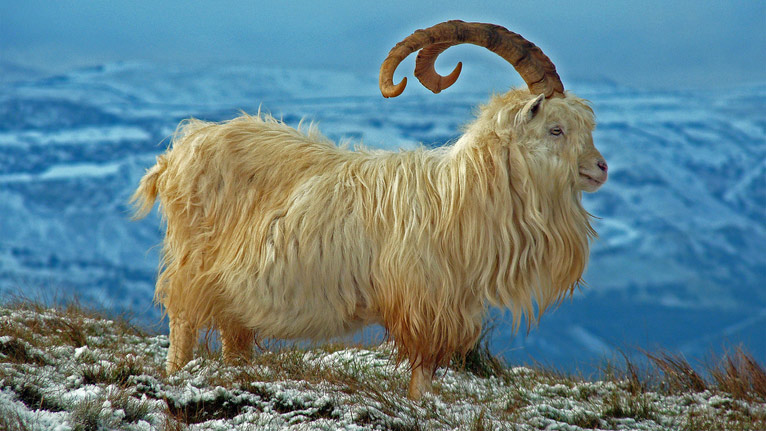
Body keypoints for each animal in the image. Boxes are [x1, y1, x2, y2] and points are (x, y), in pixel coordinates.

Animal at [132, 20, 608, 399]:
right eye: (555, 129)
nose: (600, 168)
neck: (458, 196)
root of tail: (179, 150)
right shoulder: (422, 302)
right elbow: (422, 373)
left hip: (234, 293)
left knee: (234, 341)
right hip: (192, 265)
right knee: (182, 324)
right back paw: (175, 376)